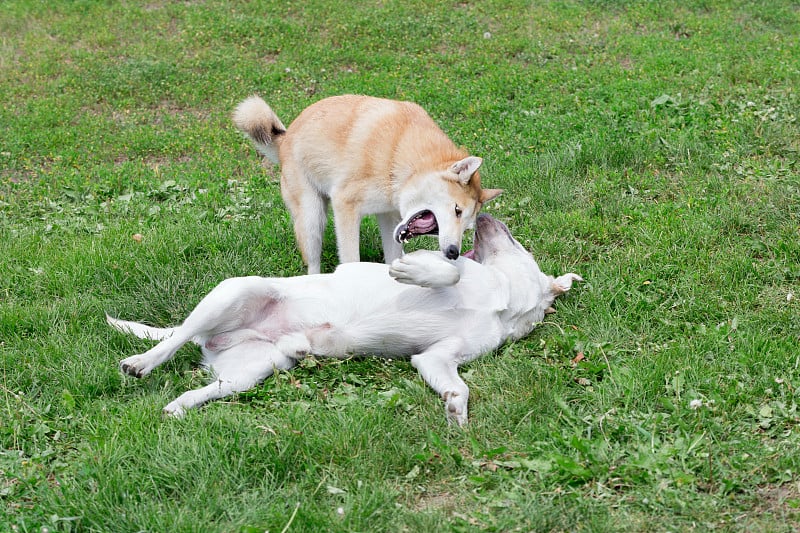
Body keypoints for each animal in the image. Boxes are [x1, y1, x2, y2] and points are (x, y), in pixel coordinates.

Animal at [108, 214, 580, 426]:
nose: (483, 216)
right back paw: (142, 362)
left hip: (253, 370)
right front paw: (411, 270)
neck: (499, 304)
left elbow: (457, 386)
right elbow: (448, 271)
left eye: (514, 240)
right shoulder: (445, 270)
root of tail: (213, 337)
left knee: (204, 386)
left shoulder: (436, 359)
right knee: (174, 339)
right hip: (234, 291)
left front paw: (455, 409)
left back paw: (176, 406)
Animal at [231, 94, 504, 274]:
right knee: (313, 265)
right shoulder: (345, 206)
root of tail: (285, 138)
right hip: (312, 220)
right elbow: (352, 259)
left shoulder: (390, 218)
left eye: (468, 226)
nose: (453, 253)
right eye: (457, 210)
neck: (399, 156)